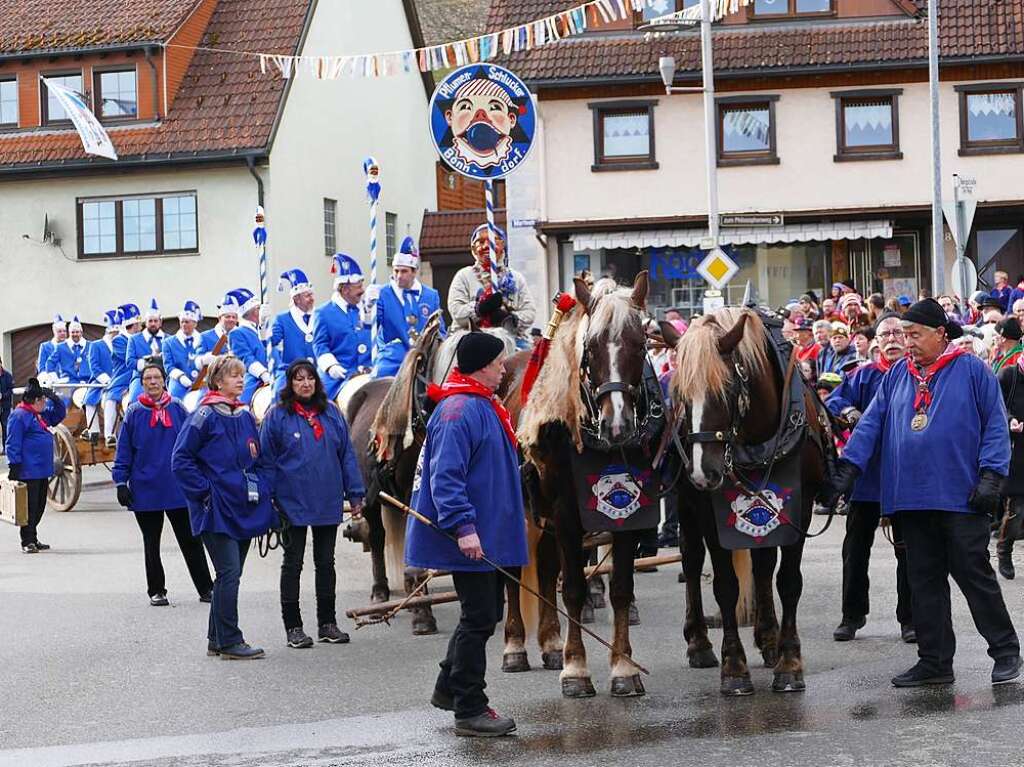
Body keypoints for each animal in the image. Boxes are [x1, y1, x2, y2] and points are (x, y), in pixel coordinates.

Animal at [663, 305, 831, 692]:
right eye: (680, 394)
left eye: (725, 389)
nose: (703, 473)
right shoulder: (710, 513)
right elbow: (725, 586)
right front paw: (734, 666)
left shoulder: (798, 507)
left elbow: (787, 581)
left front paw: (789, 661)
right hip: (687, 506)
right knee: (691, 561)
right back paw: (699, 643)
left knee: (764, 565)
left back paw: (768, 637)